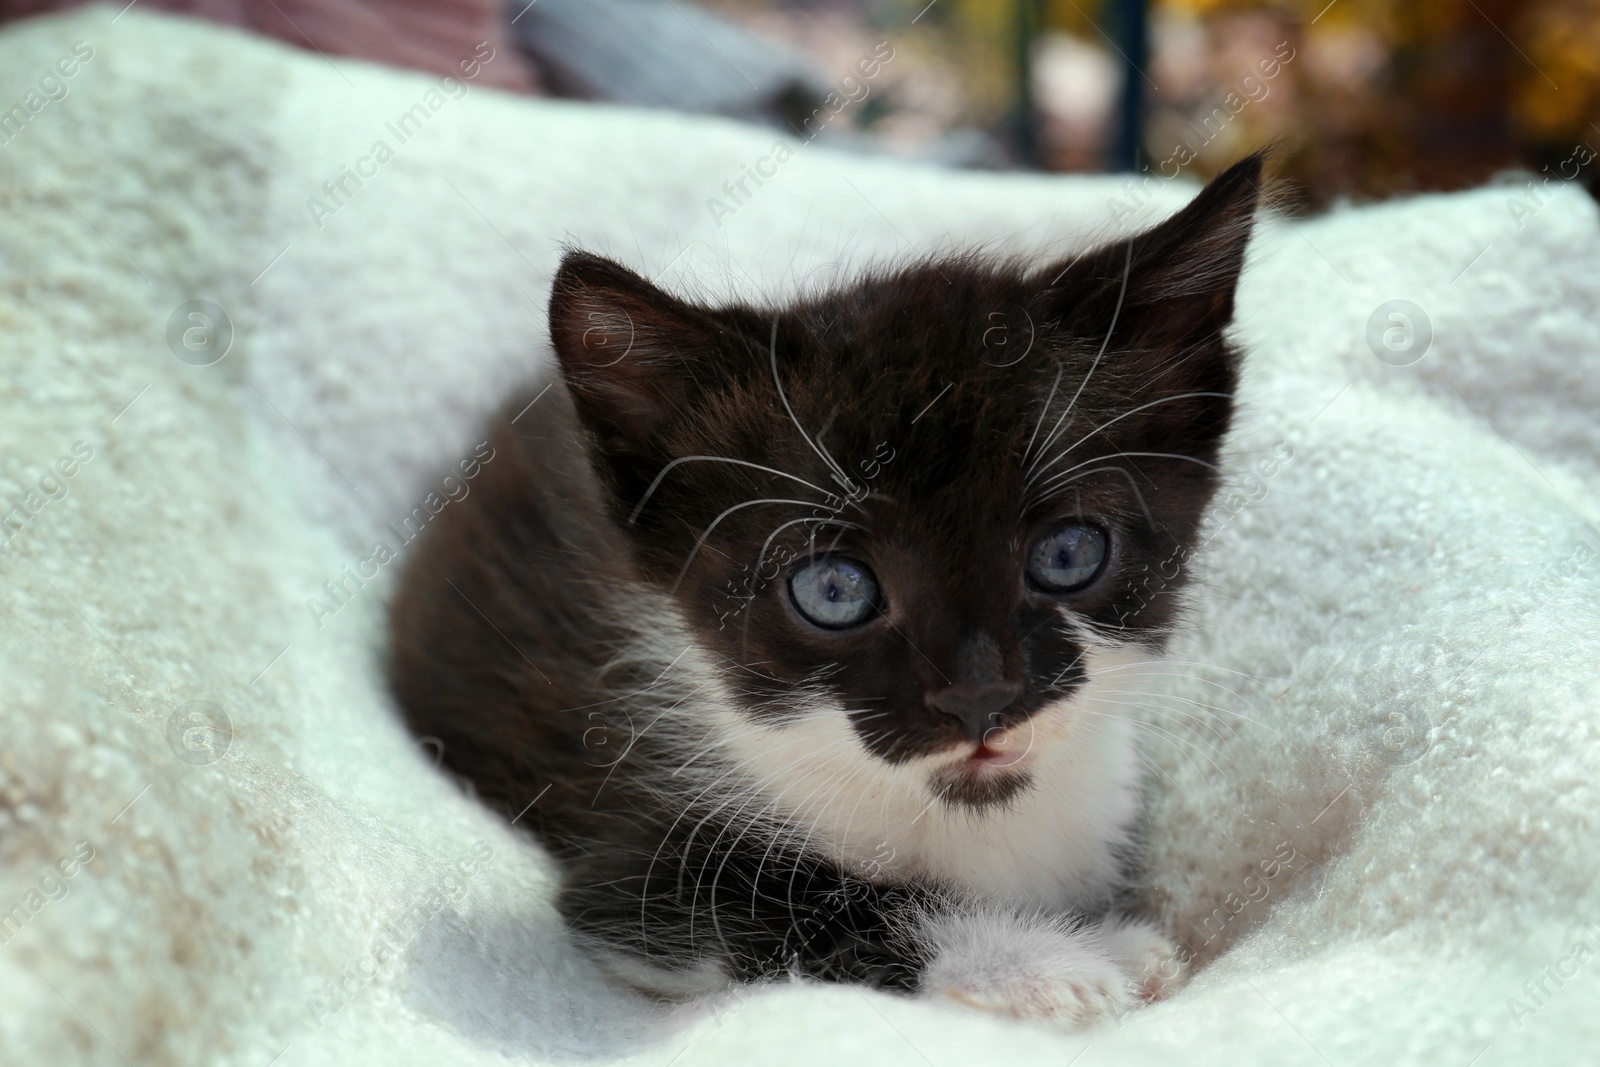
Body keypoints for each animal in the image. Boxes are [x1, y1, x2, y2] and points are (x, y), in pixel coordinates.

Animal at [387, 154, 1260, 1030]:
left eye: (1069, 553)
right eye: (835, 589)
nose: (979, 695)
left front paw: (1105, 943)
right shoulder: (632, 873)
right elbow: (817, 898)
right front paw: (1053, 963)